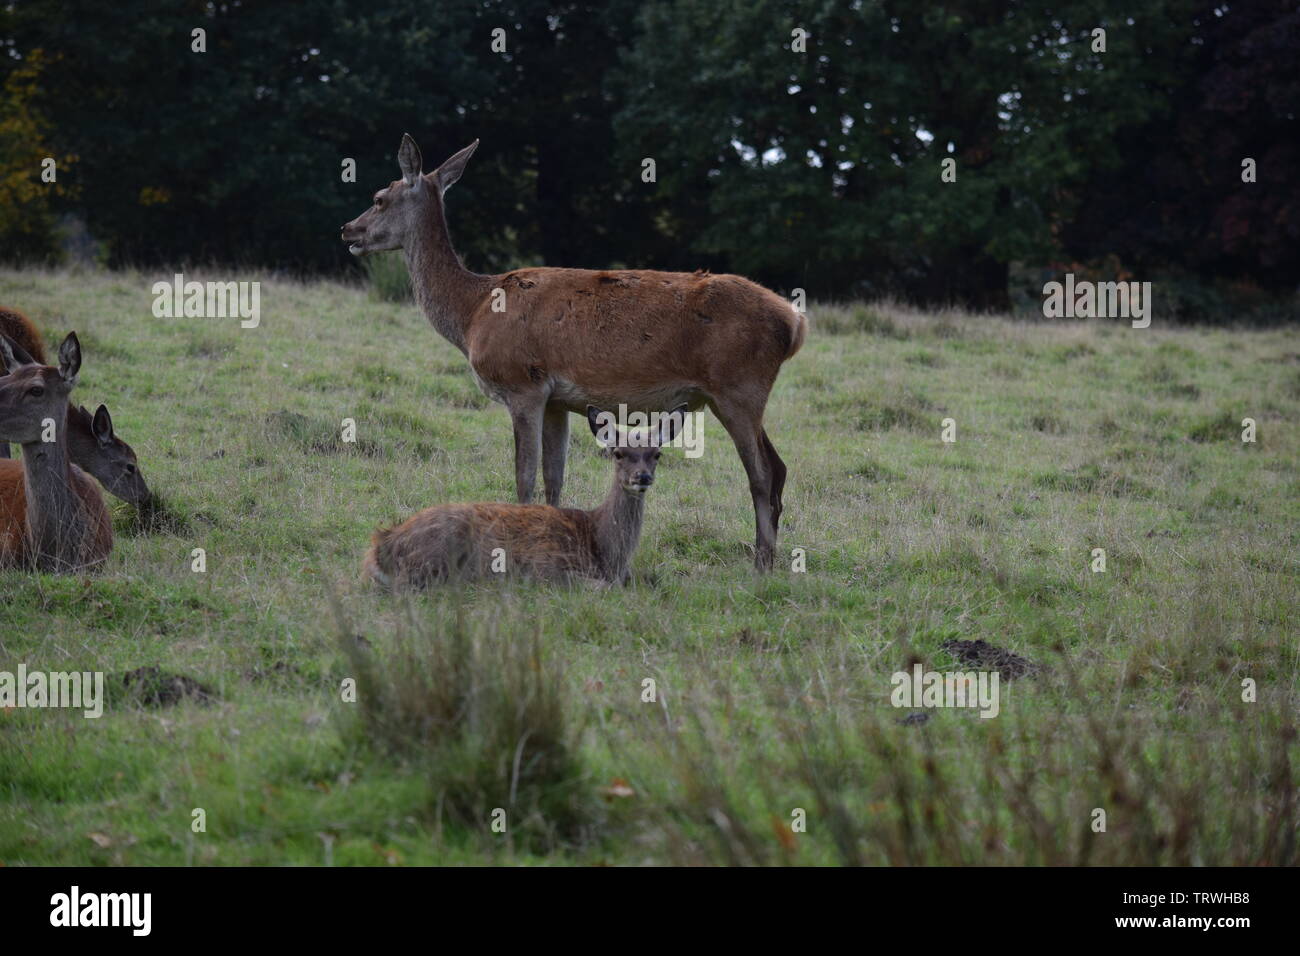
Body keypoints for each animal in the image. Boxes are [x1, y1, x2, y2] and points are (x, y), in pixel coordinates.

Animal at [340, 134, 806, 567]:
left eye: (379, 198)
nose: (348, 230)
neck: (472, 313)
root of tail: (794, 324)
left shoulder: (522, 384)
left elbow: (524, 475)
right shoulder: (558, 400)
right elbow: (554, 478)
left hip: (738, 386)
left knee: (762, 473)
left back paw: (761, 561)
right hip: (731, 394)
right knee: (779, 466)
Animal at [361, 403, 686, 590]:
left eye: (657, 454)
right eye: (618, 453)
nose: (642, 477)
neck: (601, 547)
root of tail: (381, 547)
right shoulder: (546, 567)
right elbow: (606, 587)